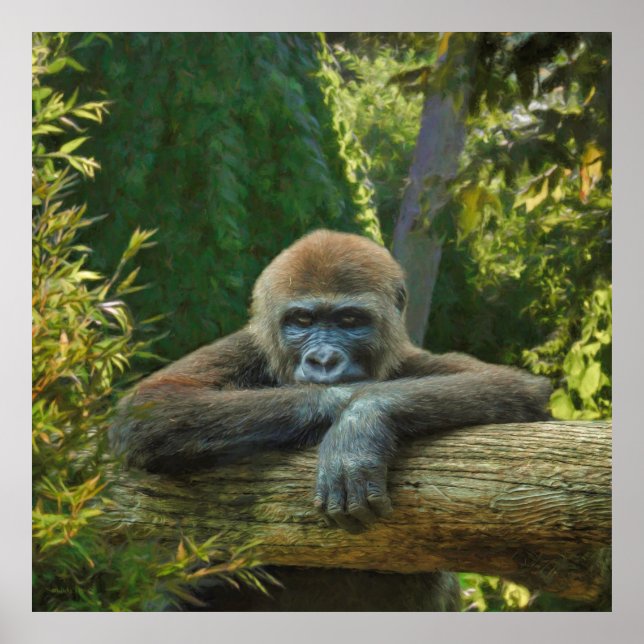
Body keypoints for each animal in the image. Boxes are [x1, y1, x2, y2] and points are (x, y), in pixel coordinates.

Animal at [110, 229, 552, 610]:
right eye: (302, 321)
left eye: (349, 321)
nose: (323, 360)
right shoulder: (248, 345)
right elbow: (152, 406)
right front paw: (343, 403)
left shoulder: (409, 356)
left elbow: (514, 387)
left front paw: (361, 423)